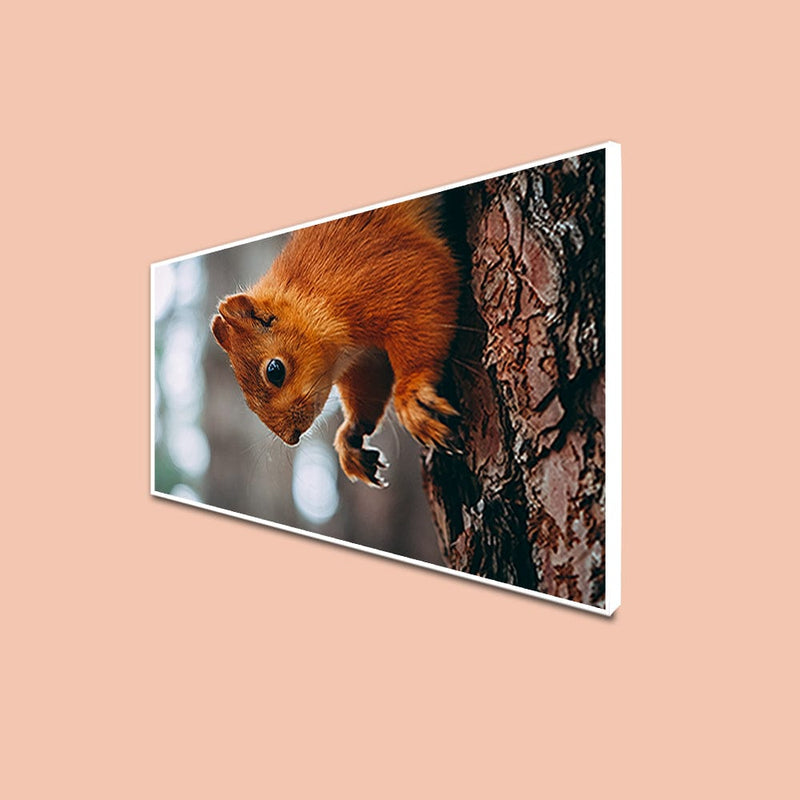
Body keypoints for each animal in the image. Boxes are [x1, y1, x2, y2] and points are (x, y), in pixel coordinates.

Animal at [211, 196, 461, 487]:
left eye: (274, 371)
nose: (291, 437)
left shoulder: (388, 268)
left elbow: (425, 287)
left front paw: (412, 395)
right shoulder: (365, 358)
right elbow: (368, 384)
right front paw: (351, 436)